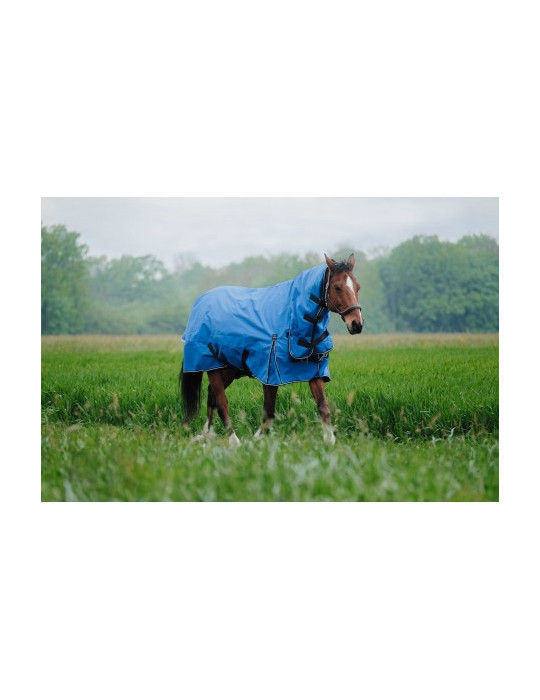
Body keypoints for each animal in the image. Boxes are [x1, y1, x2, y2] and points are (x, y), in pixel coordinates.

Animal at [179, 253, 364, 445]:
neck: (293, 318)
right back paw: (234, 441)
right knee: (221, 402)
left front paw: (329, 441)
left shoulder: (314, 372)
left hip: (227, 368)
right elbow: (268, 412)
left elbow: (323, 407)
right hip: (213, 367)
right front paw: (256, 440)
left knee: (212, 397)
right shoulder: (270, 374)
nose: (356, 324)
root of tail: (200, 303)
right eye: (337, 287)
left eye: (357, 286)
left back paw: (205, 435)